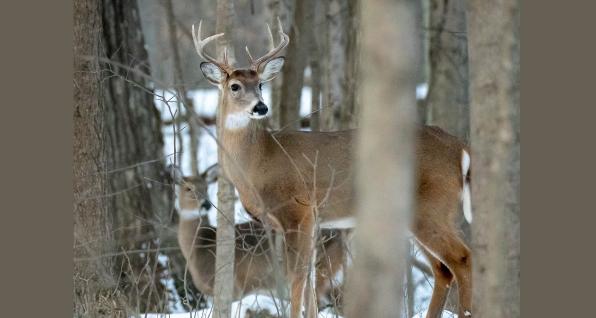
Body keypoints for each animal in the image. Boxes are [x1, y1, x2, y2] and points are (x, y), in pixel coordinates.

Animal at [168, 165, 350, 312]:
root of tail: (343, 233)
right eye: (188, 189)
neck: (200, 247)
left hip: (322, 269)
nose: (205, 204)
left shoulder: (233, 287)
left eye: (206, 188)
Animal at [193, 19, 472, 318]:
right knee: (442, 269)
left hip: (431, 206)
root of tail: (459, 146)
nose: (261, 107)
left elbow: (298, 276)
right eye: (235, 86)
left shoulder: (298, 211)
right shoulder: (314, 220)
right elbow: (311, 279)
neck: (259, 163)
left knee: (461, 258)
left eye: (260, 85)